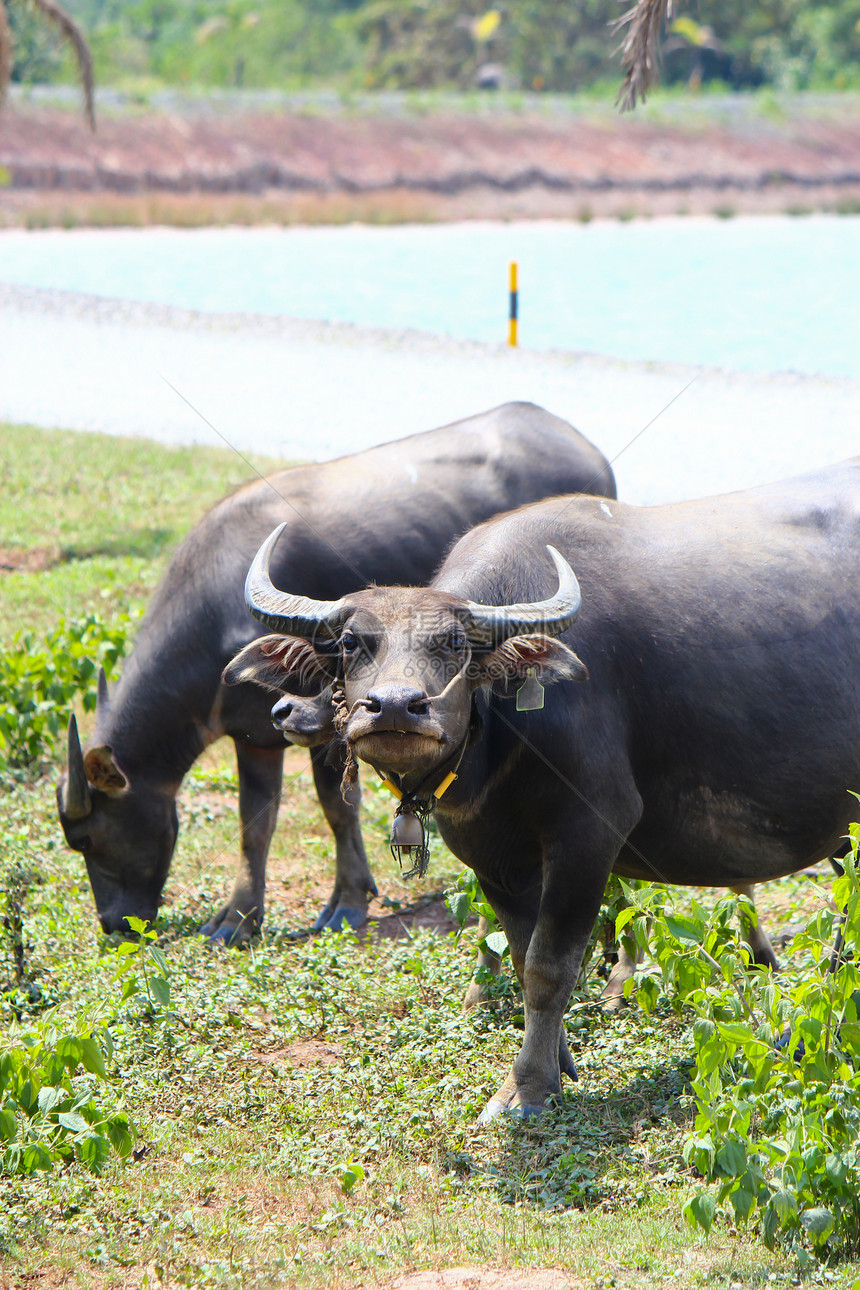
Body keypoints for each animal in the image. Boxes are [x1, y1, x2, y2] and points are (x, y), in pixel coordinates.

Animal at [55, 397, 618, 944]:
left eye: (86, 838)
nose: (113, 925)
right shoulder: (257, 736)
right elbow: (256, 825)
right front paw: (241, 917)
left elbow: (331, 809)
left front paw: (340, 903)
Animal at [237, 461, 860, 1119]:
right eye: (352, 643)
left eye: (454, 643)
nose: (398, 706)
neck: (504, 729)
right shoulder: (492, 853)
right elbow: (519, 953)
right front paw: (558, 1061)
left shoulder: (590, 833)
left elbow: (549, 965)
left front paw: (527, 1086)